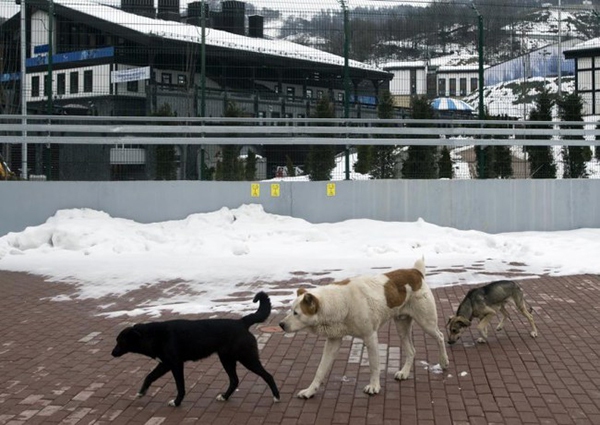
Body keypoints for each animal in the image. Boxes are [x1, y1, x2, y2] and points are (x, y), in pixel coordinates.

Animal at [111, 290, 280, 406]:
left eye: (120, 341)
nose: (112, 353)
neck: (153, 335)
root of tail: (241, 322)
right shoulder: (165, 364)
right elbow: (149, 376)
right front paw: (141, 392)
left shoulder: (176, 364)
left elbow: (180, 387)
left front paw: (176, 402)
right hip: (227, 359)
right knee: (234, 380)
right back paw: (224, 397)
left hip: (247, 358)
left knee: (268, 376)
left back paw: (277, 397)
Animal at [278, 256, 448, 400]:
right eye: (290, 310)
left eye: (296, 313)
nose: (281, 324)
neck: (341, 302)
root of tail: (415, 272)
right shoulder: (333, 341)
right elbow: (320, 369)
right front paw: (310, 391)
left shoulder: (370, 336)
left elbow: (374, 365)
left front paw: (374, 386)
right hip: (402, 327)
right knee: (412, 350)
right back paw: (405, 373)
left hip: (426, 322)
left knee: (440, 336)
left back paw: (444, 361)